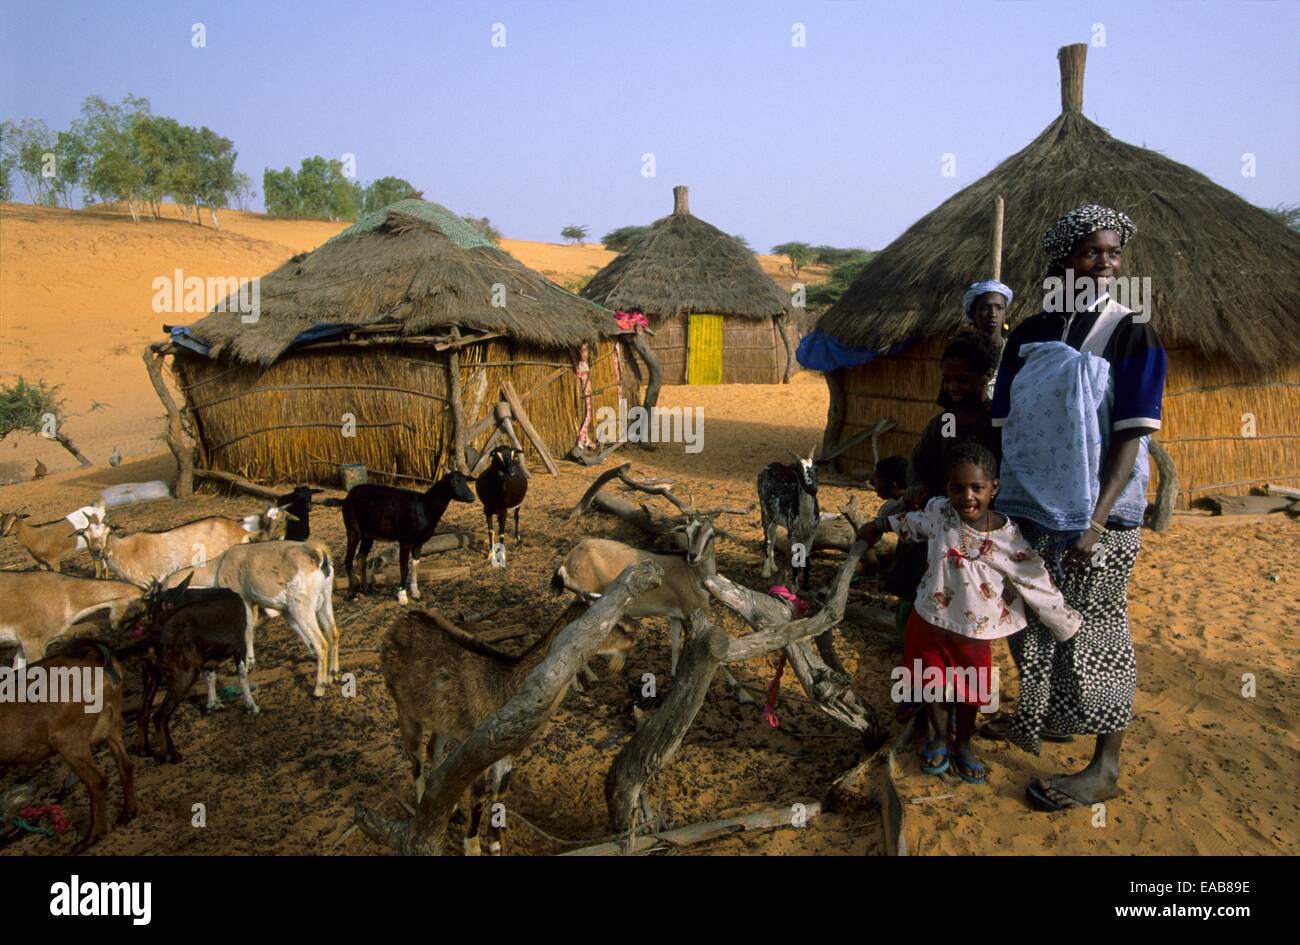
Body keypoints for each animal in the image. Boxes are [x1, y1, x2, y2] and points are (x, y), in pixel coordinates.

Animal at [0, 642, 138, 852]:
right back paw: (128, 812)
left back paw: (91, 837)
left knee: (97, 781)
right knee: (125, 765)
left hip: (69, 740)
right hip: (111, 726)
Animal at [340, 470, 478, 603]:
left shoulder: (419, 542)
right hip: (353, 528)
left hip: (368, 534)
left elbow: (415, 565)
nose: (472, 497)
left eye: (466, 480)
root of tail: (347, 497)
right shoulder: (405, 540)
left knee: (361, 557)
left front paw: (415, 593)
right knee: (348, 560)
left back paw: (366, 590)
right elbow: (404, 567)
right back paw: (352, 595)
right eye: (454, 482)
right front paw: (402, 596)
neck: (425, 507)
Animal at [379, 605, 634, 857]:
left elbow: (499, 800)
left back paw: (451, 809)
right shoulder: (476, 751)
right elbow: (479, 799)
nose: (636, 635)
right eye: (612, 623)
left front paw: (496, 847)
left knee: (434, 748)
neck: (506, 689)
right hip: (404, 707)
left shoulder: (507, 754)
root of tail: (399, 621)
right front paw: (472, 848)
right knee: (415, 758)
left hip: (444, 721)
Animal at [759, 447, 816, 587]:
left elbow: (806, 557)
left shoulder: (811, 534)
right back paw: (766, 571)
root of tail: (771, 465)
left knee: (773, 536)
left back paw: (773, 566)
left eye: (816, 468)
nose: (813, 489)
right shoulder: (792, 533)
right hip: (765, 512)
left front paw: (806, 585)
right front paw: (794, 584)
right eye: (799, 471)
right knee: (767, 539)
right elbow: (795, 558)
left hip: (776, 518)